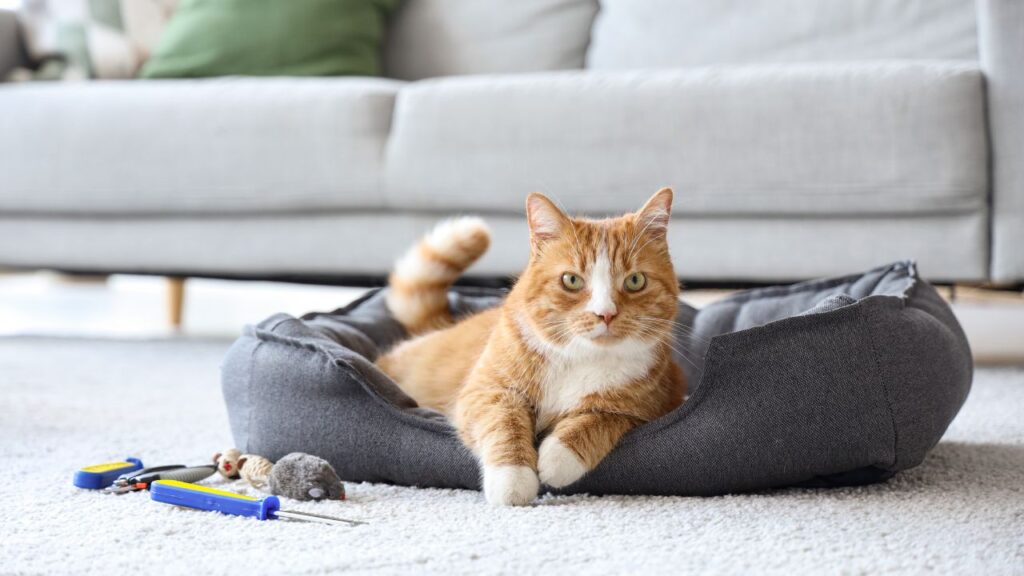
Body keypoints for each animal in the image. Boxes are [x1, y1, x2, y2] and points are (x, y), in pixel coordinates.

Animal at [372, 187, 684, 502]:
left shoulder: (648, 409)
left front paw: (558, 457)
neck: (579, 358)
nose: (605, 314)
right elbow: (505, 422)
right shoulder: (484, 392)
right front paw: (513, 480)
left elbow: (597, 418)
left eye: (635, 281)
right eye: (571, 280)